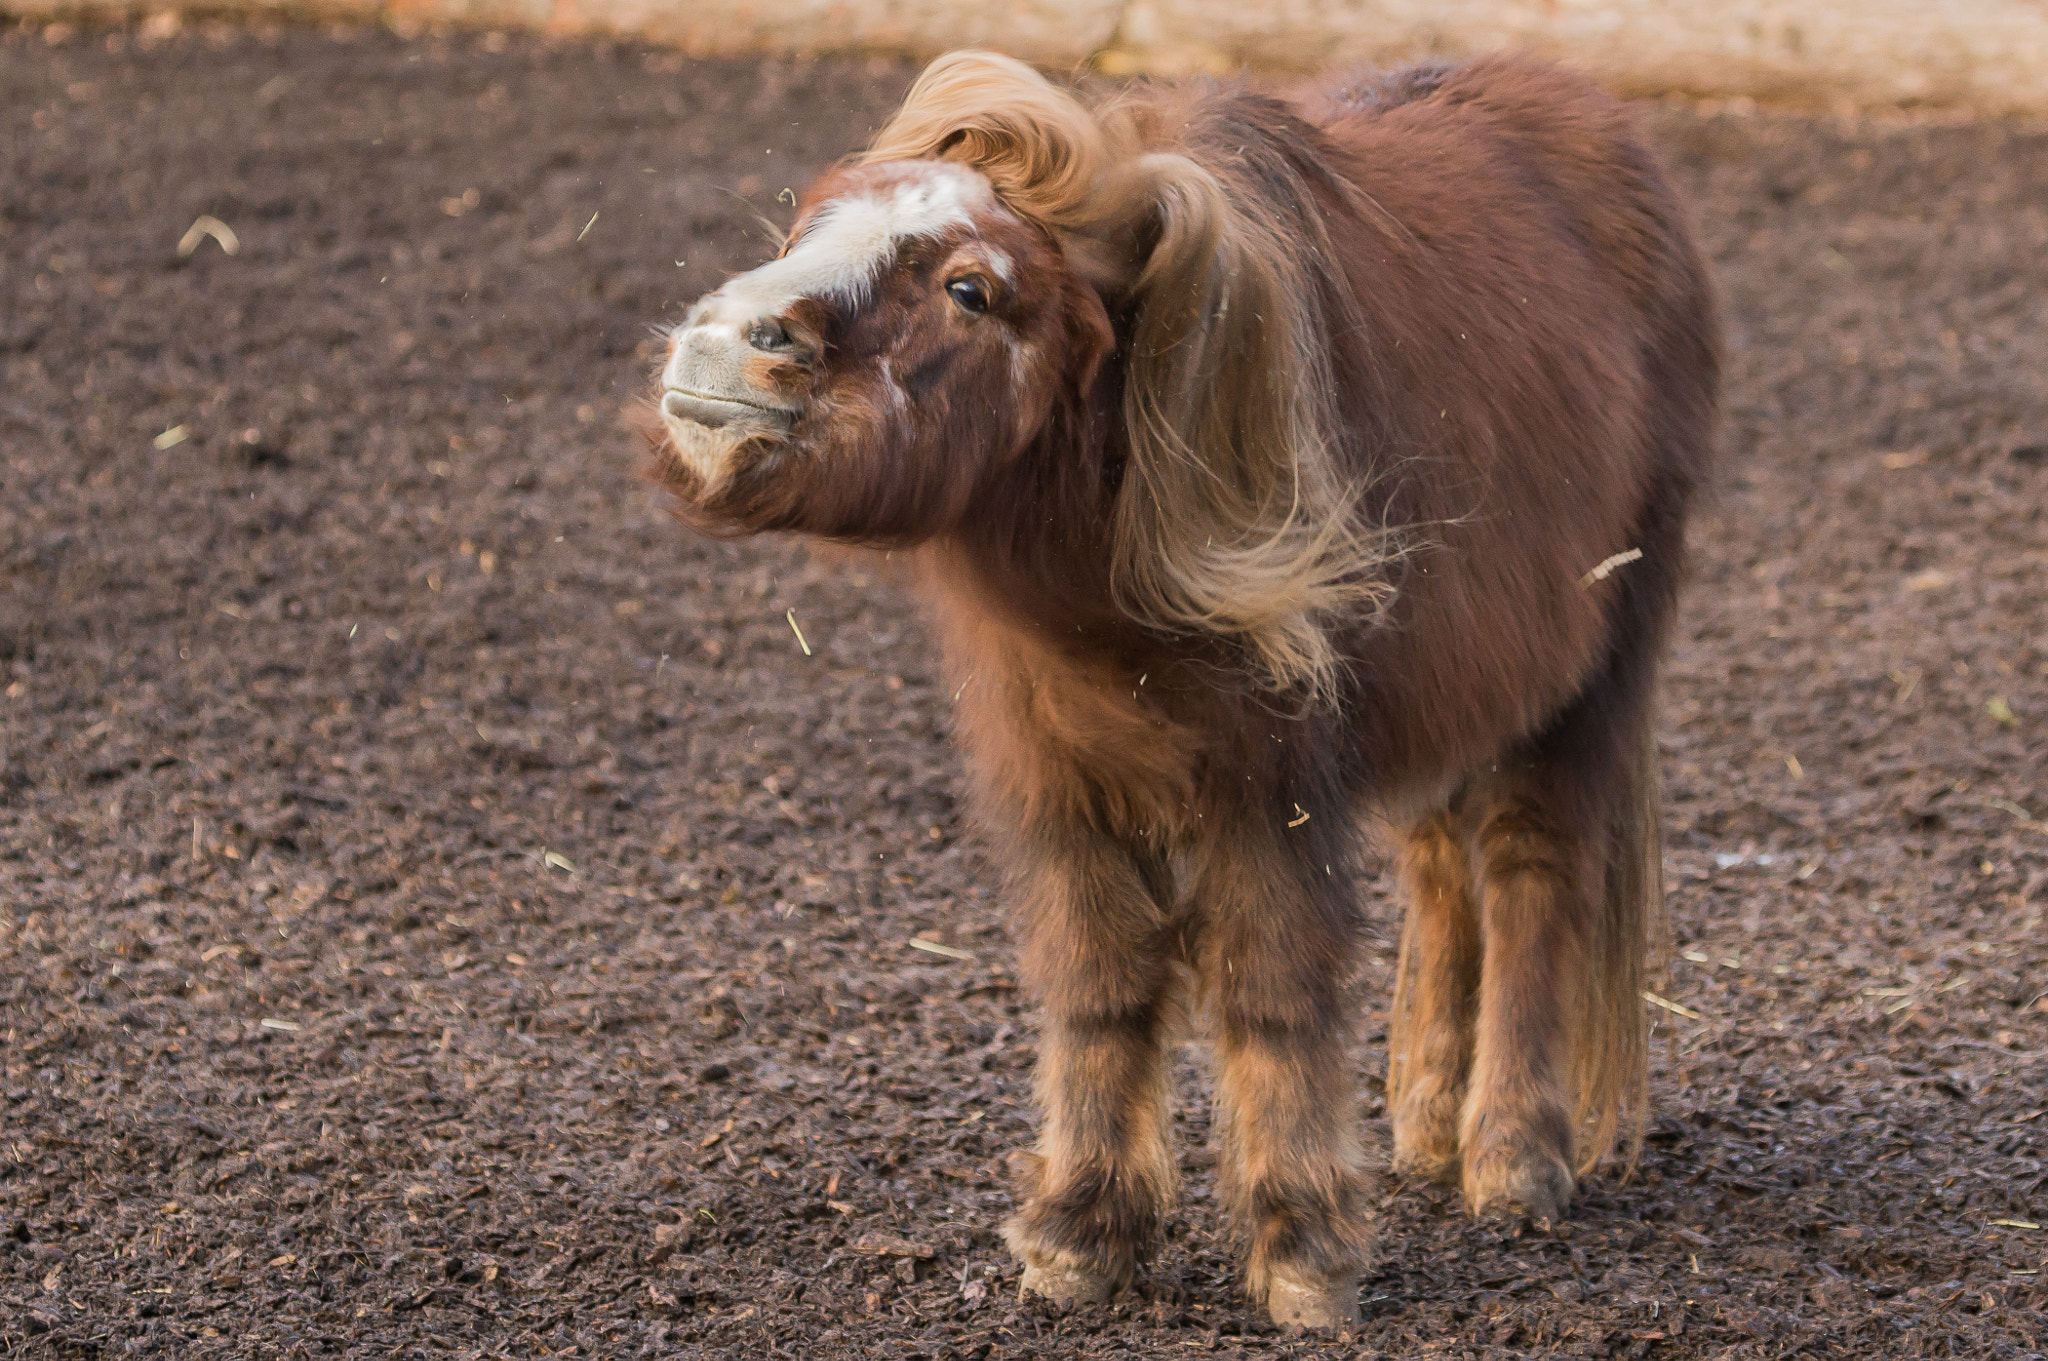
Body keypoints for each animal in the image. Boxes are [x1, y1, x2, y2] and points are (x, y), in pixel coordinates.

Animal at [634, 50, 1712, 1326]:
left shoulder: (1273, 786)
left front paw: (1303, 1251)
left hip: (1589, 684)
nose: (721, 342)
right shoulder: (1056, 782)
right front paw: (1078, 1234)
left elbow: (1268, 991)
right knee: (1446, 872)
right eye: (804, 223)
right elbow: (1097, 984)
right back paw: (1424, 1123)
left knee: (1529, 875)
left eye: (969, 289)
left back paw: (1511, 1155)